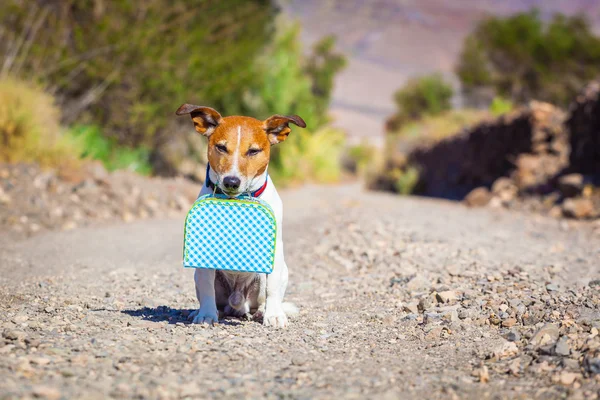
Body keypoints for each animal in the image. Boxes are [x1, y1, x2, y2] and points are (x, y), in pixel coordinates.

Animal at [175, 104, 304, 328]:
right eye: (220, 147)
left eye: (253, 151)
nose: (231, 181)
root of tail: (236, 304)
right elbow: (207, 288)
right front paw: (206, 315)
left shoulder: (274, 247)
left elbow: (272, 287)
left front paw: (273, 316)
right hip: (199, 275)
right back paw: (206, 311)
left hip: (276, 274)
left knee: (265, 295)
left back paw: (262, 311)